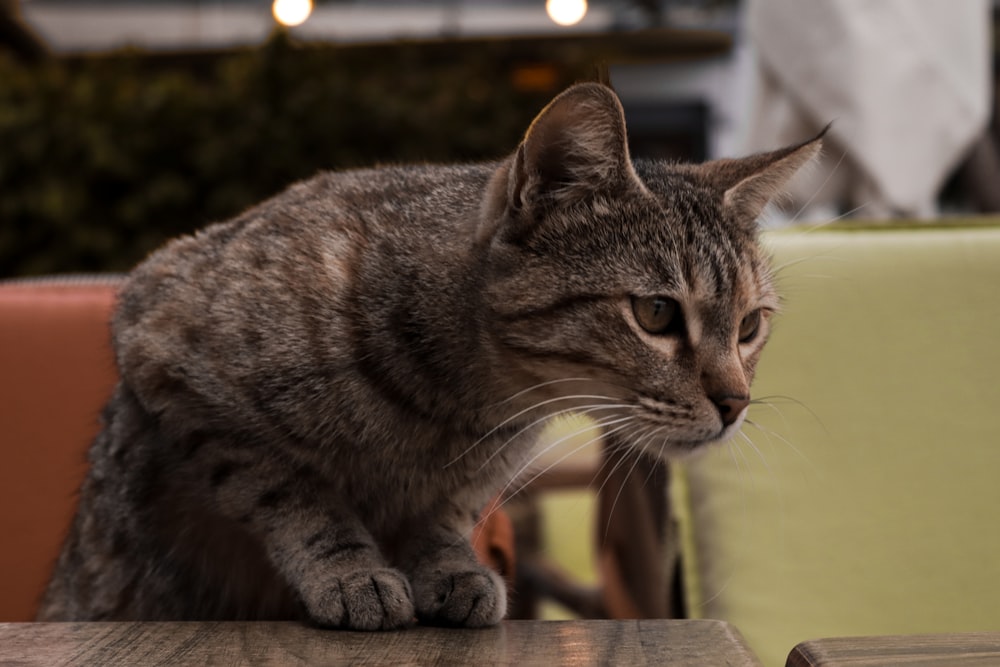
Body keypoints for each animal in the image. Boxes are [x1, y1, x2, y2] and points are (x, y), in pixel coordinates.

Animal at [37, 82, 820, 632]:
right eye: (656, 313)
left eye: (749, 326)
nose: (735, 402)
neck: (463, 403)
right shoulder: (167, 353)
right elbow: (292, 491)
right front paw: (349, 569)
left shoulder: (484, 467)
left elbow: (449, 508)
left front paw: (448, 564)